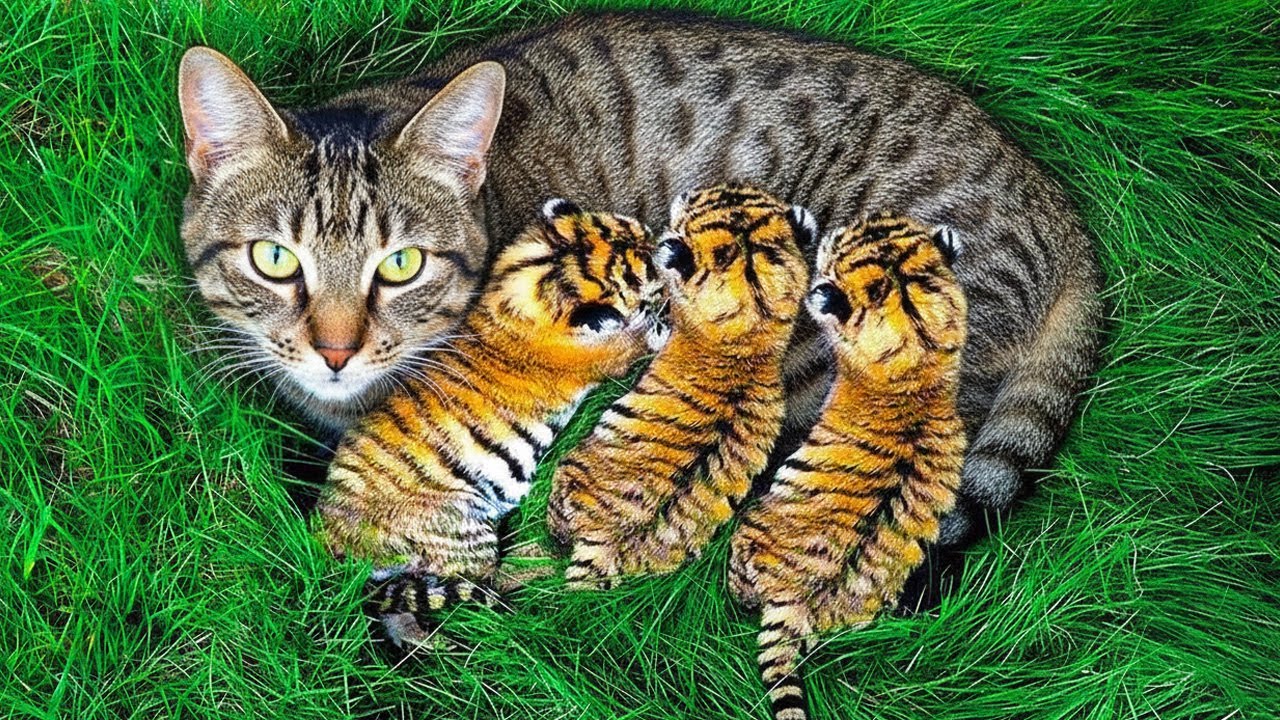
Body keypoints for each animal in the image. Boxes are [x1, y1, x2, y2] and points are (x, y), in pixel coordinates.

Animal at [315, 199, 661, 647]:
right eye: (643, 269)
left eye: (640, 233)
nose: (664, 244)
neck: (532, 276)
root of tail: (329, 535)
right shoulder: (614, 350)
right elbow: (652, 333)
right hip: (465, 528)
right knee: (489, 577)